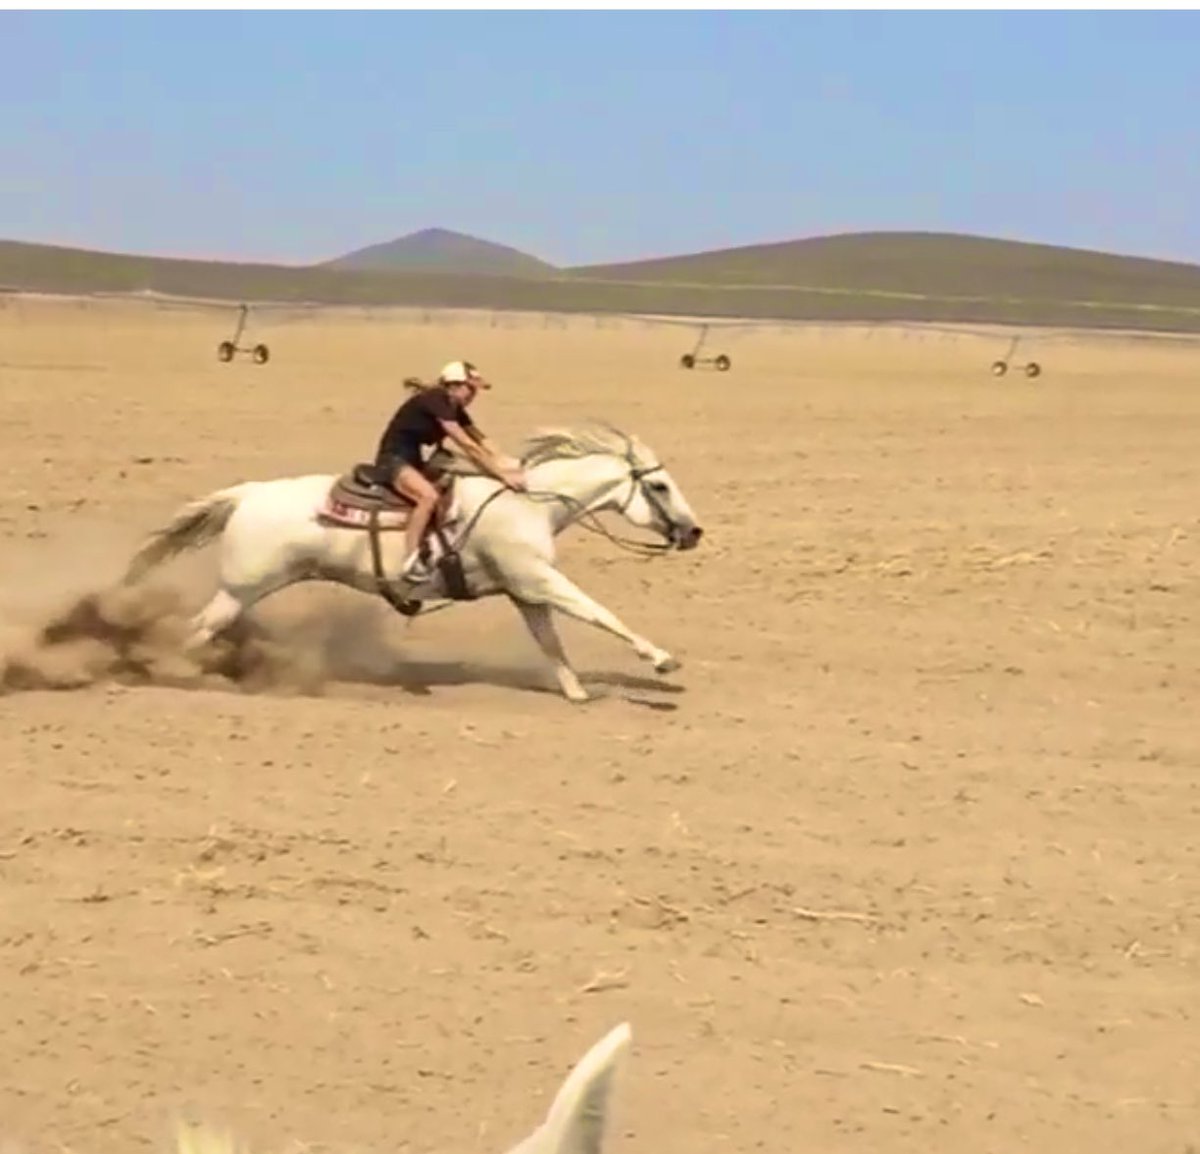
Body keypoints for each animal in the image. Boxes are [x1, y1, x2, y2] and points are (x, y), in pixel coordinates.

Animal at [120, 424, 704, 702]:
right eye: (658, 486)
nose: (694, 531)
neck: (526, 502)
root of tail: (247, 494)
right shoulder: (539, 578)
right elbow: (598, 612)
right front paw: (661, 661)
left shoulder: (525, 590)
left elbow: (551, 641)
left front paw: (576, 691)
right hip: (241, 589)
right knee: (196, 631)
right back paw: (180, 673)